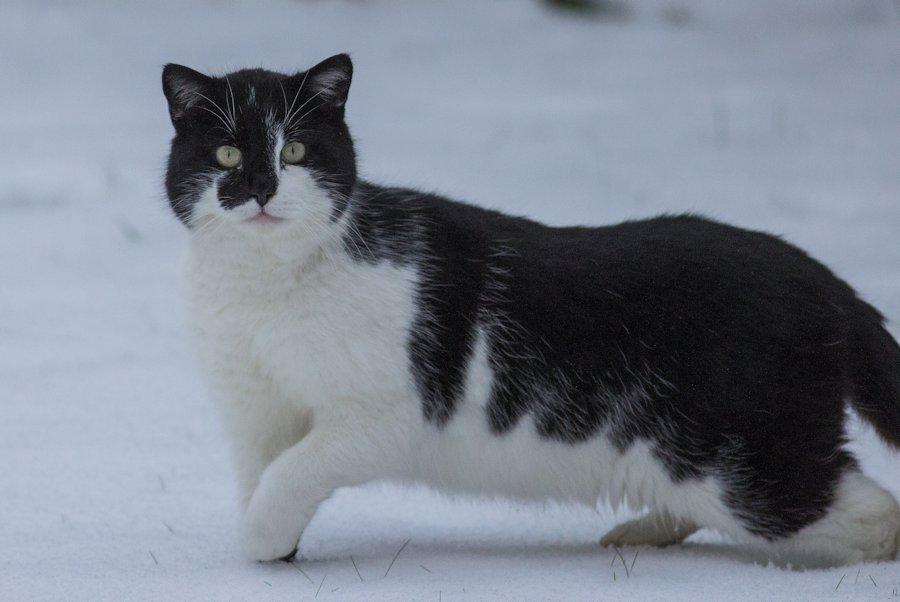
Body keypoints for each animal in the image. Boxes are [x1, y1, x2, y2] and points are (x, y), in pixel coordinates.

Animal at [162, 54, 900, 564]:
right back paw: (639, 533)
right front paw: (277, 552)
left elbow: (290, 475)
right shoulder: (253, 411)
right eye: (226, 152)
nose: (259, 189)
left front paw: (262, 541)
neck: (264, 289)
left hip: (752, 462)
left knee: (873, 514)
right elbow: (263, 475)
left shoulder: (383, 415)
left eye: (294, 150)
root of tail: (824, 281)